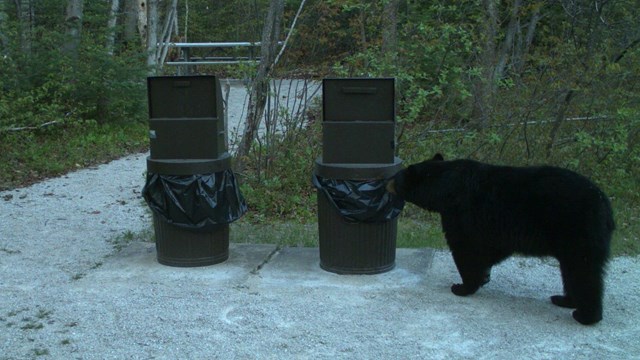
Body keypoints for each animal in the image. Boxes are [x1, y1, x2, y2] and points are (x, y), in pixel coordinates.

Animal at [388, 153, 612, 324]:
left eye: (396, 177)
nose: (387, 182)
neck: (444, 188)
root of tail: (604, 204)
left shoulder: (461, 213)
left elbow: (464, 247)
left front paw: (463, 286)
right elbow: (493, 249)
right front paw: (483, 276)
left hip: (575, 231)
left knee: (583, 271)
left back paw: (585, 315)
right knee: (571, 271)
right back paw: (565, 300)